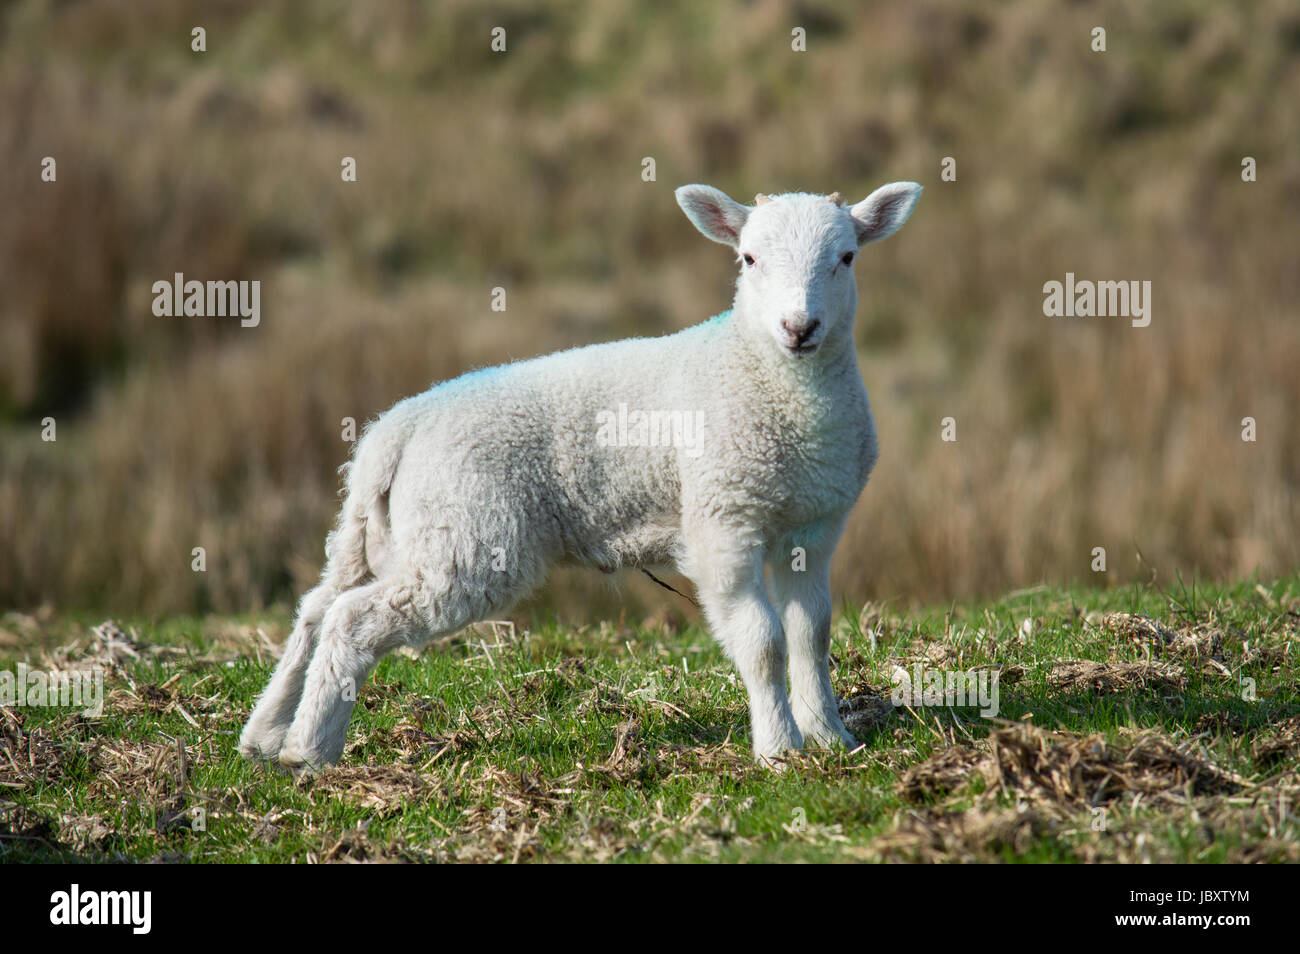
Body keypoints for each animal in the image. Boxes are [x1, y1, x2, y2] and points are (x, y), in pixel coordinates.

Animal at [239, 180, 923, 771]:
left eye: (847, 257)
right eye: (748, 258)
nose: (799, 328)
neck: (766, 378)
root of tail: (392, 433)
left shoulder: (815, 527)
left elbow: (811, 634)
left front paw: (832, 740)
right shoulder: (723, 522)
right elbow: (763, 640)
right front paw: (780, 748)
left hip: (386, 533)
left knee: (317, 605)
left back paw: (267, 733)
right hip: (466, 539)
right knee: (352, 618)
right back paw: (309, 750)